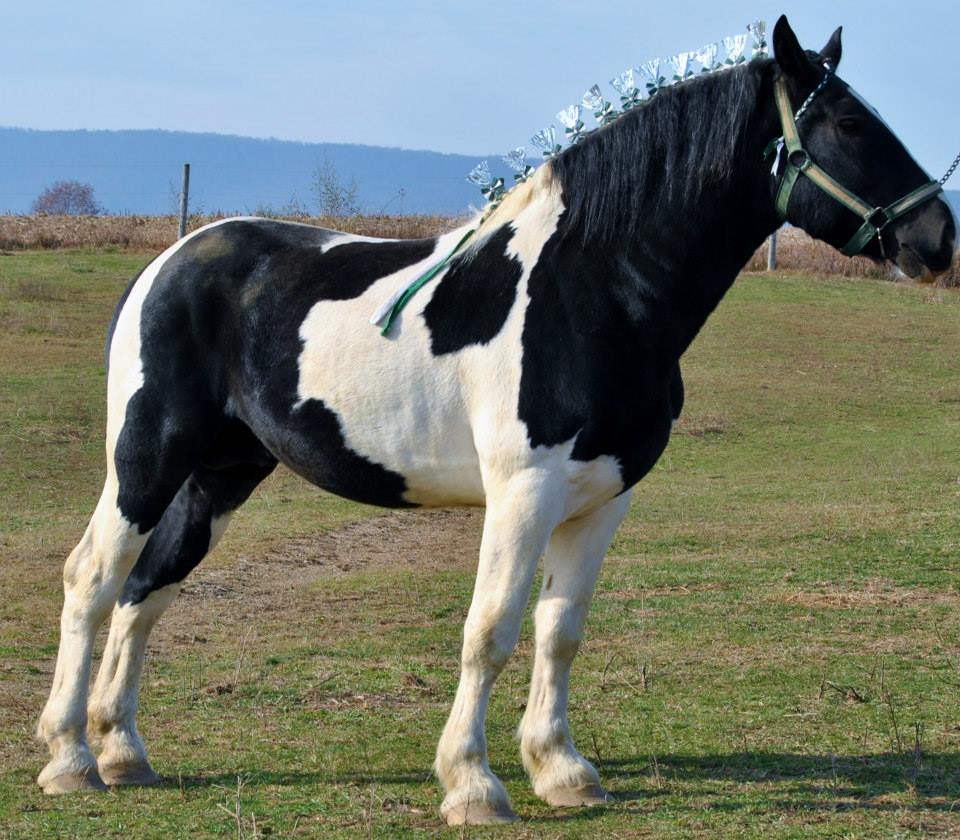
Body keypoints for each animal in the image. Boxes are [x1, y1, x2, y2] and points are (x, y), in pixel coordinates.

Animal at [37, 16, 955, 825]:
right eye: (848, 122)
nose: (937, 238)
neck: (593, 288)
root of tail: (170, 260)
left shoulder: (603, 497)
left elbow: (560, 631)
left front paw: (562, 771)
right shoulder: (524, 491)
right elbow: (491, 632)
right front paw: (473, 784)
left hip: (222, 472)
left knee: (148, 589)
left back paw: (123, 751)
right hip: (147, 458)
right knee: (94, 578)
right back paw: (70, 758)